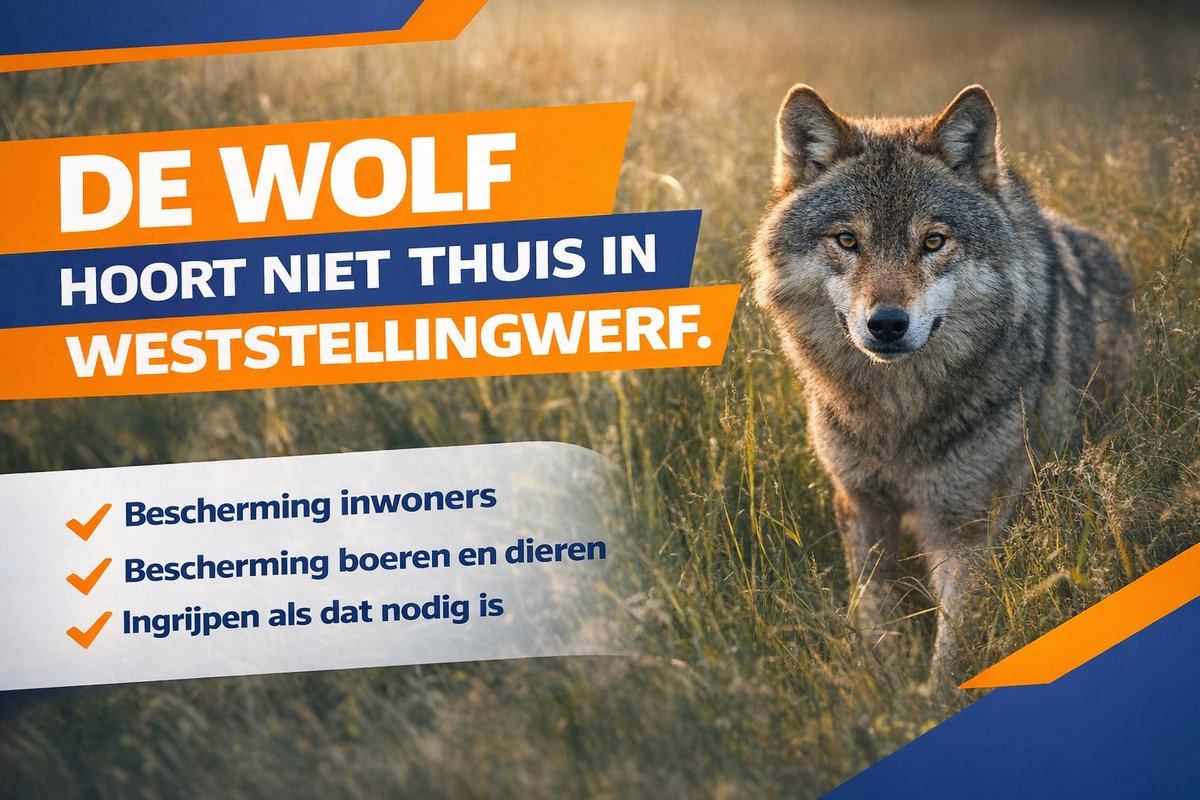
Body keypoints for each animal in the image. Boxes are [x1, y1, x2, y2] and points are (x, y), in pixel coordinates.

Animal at [749, 84, 1138, 681]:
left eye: (933, 241)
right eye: (847, 240)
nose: (887, 323)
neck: (897, 417)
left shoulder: (968, 525)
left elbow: (954, 645)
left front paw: (933, 696)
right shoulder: (861, 505)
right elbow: (875, 617)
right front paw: (885, 686)